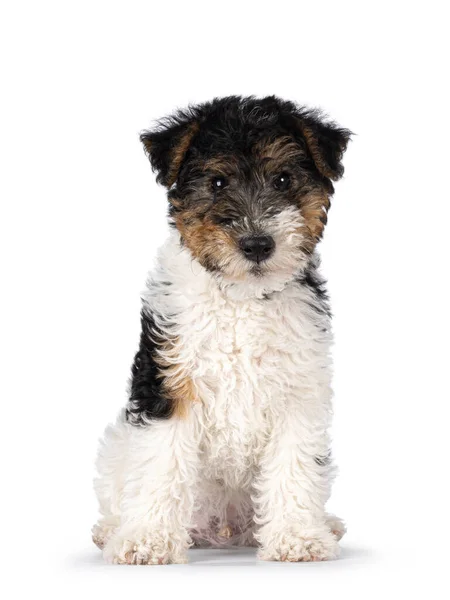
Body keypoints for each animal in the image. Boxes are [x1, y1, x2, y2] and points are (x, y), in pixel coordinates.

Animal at [92, 96, 352, 564]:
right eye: (216, 182)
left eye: (283, 179)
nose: (257, 244)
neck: (242, 297)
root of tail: (225, 529)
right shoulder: (169, 381)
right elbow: (161, 463)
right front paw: (148, 540)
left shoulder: (298, 392)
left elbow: (294, 465)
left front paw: (296, 536)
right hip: (117, 446)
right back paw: (112, 531)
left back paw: (325, 525)